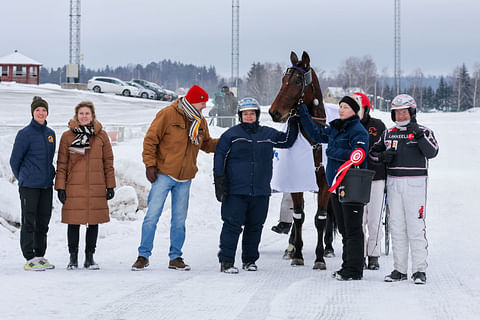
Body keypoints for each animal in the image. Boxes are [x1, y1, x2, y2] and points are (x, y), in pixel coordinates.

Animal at [268, 51, 332, 268]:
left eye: (297, 80)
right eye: (283, 79)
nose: (274, 112)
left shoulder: (325, 183)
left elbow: (321, 217)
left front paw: (320, 257)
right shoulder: (296, 180)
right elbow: (298, 216)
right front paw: (297, 253)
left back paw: (329, 248)